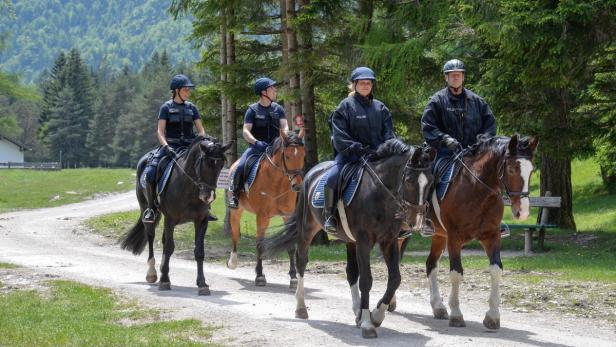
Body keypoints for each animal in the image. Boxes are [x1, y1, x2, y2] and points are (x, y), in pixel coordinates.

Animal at [119, 136, 232, 296]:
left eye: (221, 164)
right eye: (205, 163)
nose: (208, 196)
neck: (189, 188)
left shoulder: (201, 221)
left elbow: (199, 251)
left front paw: (202, 284)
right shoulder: (170, 219)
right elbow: (170, 247)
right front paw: (165, 281)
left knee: (163, 240)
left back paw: (161, 270)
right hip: (147, 210)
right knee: (151, 237)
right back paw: (152, 274)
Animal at [224, 129, 306, 286]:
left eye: (303, 155)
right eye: (287, 155)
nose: (297, 186)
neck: (278, 181)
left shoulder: (287, 215)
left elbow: (290, 247)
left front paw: (293, 277)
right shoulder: (262, 216)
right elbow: (259, 244)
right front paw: (260, 275)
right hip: (236, 211)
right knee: (235, 235)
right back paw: (233, 262)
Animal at [262, 139, 436, 340]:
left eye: (430, 182)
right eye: (408, 181)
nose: (416, 221)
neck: (380, 194)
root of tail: (311, 173)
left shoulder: (389, 241)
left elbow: (395, 279)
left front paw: (376, 315)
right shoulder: (364, 242)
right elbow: (366, 280)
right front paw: (368, 323)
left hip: (350, 242)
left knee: (351, 272)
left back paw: (357, 312)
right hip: (307, 230)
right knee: (301, 263)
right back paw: (301, 308)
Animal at [422, 135, 536, 330]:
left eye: (532, 170)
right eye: (512, 169)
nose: (523, 212)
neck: (476, 190)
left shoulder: (492, 236)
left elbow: (496, 270)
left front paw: (493, 316)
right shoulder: (454, 238)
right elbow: (456, 273)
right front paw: (456, 314)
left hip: (439, 236)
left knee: (431, 264)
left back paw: (438, 307)